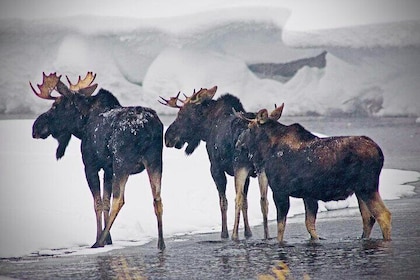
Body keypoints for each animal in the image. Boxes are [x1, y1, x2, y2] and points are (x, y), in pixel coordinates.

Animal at [30, 72, 165, 249]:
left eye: (55, 105)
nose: (35, 127)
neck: (81, 126)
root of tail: (148, 128)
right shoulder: (108, 168)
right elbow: (105, 200)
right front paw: (109, 240)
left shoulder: (90, 166)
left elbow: (98, 203)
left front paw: (101, 238)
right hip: (155, 161)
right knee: (157, 199)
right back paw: (161, 243)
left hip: (122, 162)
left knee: (119, 200)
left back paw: (98, 242)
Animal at [159, 86, 270, 240]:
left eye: (182, 115)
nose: (167, 137)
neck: (207, 129)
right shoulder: (247, 175)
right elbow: (246, 203)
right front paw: (248, 232)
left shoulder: (215, 168)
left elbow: (223, 202)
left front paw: (224, 233)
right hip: (260, 168)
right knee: (263, 199)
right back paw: (267, 235)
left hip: (241, 166)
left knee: (238, 198)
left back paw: (235, 235)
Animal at [235, 106, 392, 242]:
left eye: (249, 128)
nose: (238, 143)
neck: (267, 150)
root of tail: (380, 153)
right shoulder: (308, 195)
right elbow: (310, 226)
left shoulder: (280, 191)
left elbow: (281, 229)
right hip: (360, 191)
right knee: (368, 219)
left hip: (367, 187)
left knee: (383, 215)